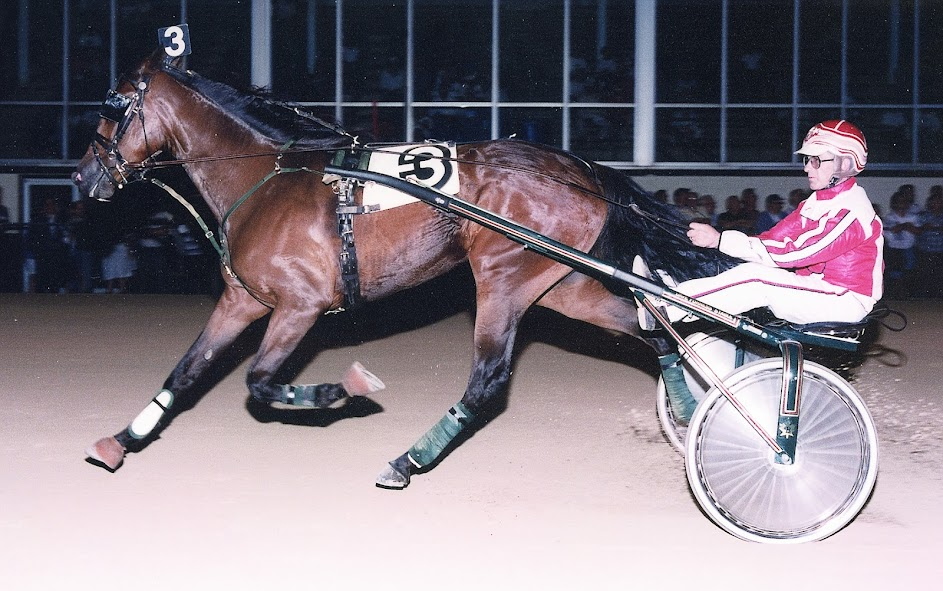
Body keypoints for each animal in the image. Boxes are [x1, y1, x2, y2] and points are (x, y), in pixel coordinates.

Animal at [74, 49, 736, 486]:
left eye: (112, 105)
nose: (82, 177)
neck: (266, 176)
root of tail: (581, 171)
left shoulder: (299, 306)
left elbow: (260, 382)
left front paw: (342, 389)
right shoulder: (243, 300)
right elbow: (186, 373)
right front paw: (123, 439)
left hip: (503, 279)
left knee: (487, 381)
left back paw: (407, 460)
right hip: (558, 284)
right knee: (648, 330)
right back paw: (686, 407)